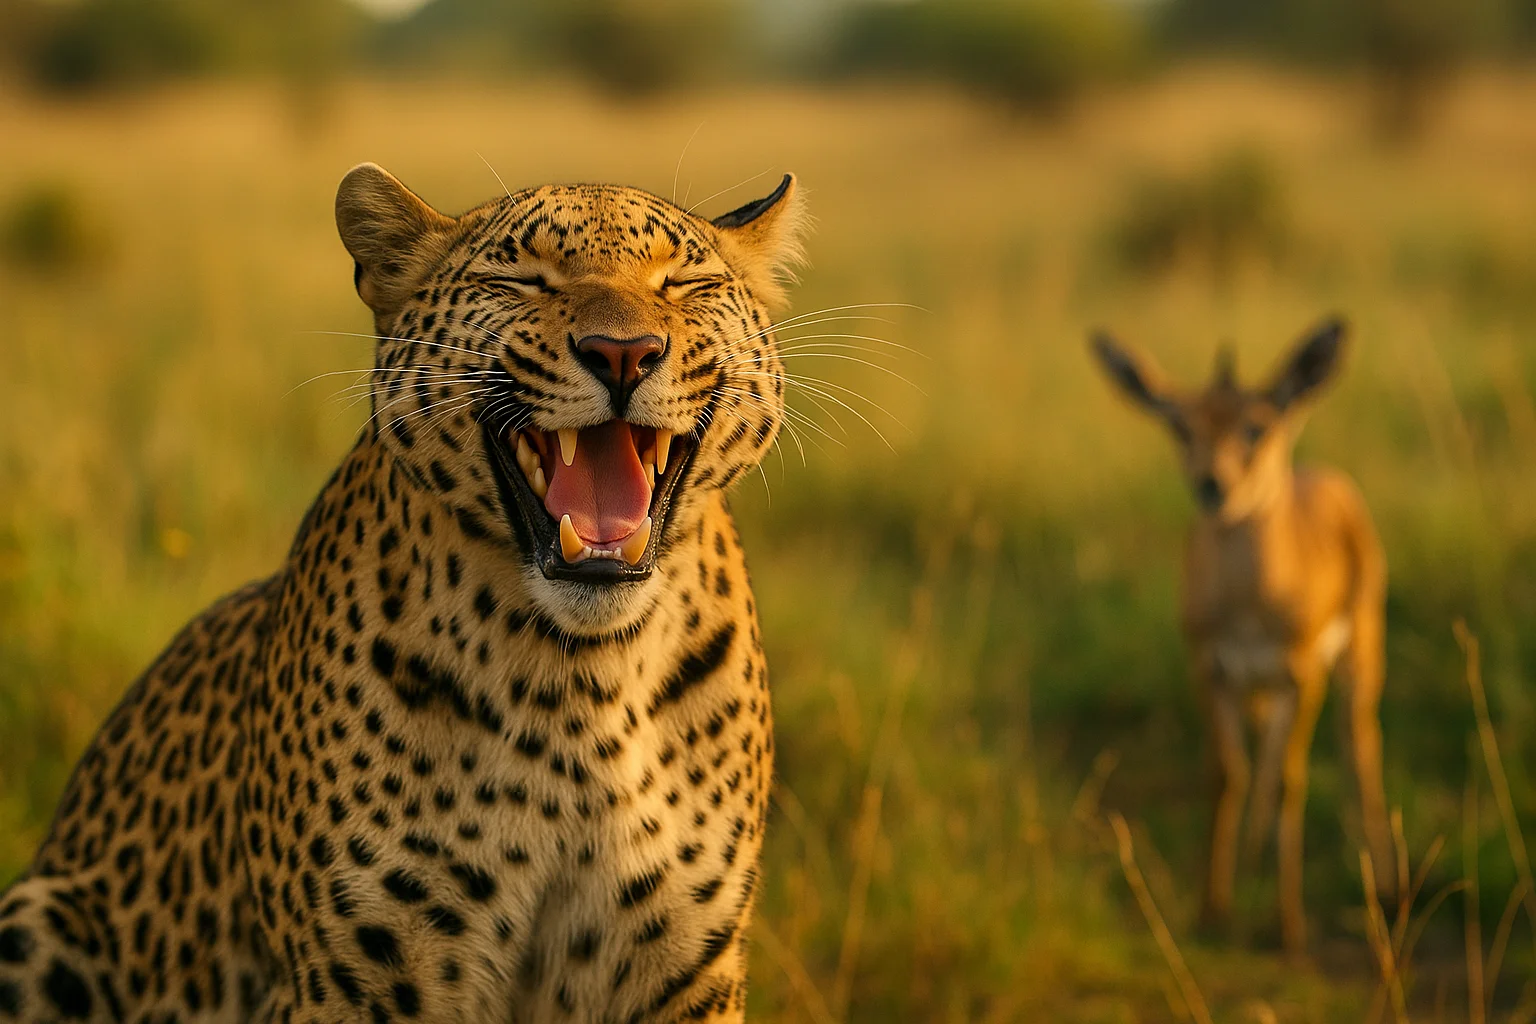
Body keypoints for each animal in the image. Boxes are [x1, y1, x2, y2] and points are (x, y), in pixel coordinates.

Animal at [0, 161, 808, 1024]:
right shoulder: (352, 975)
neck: (582, 683)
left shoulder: (688, 970)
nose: (623, 353)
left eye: (685, 282)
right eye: (521, 278)